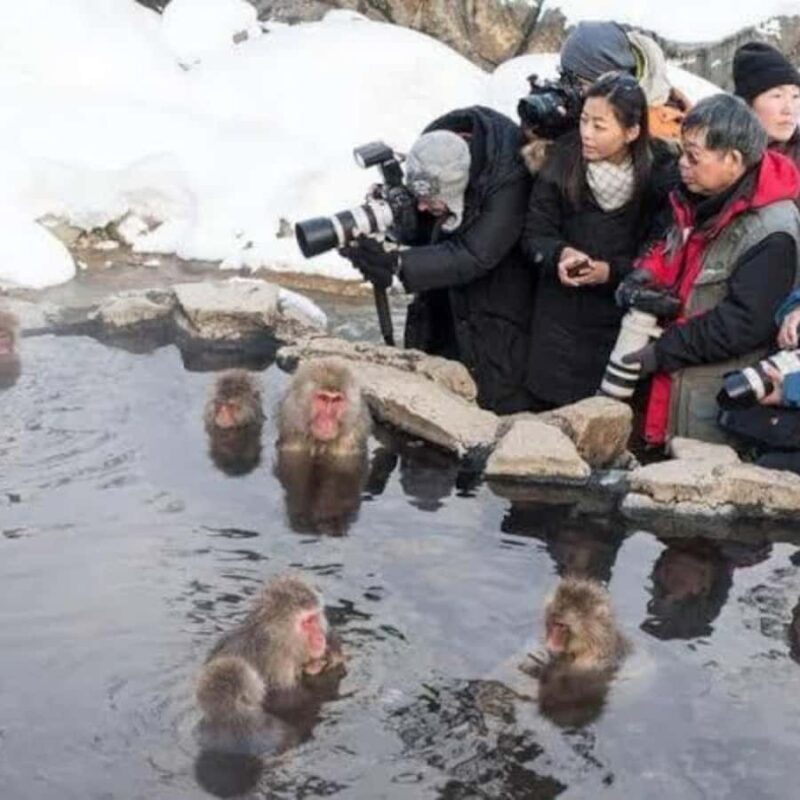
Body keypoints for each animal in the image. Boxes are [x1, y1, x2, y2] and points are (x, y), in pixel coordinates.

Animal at [195, 575, 345, 754]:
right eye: (307, 622)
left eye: (315, 618)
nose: (320, 637)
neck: (277, 642)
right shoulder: (280, 665)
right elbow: (294, 701)